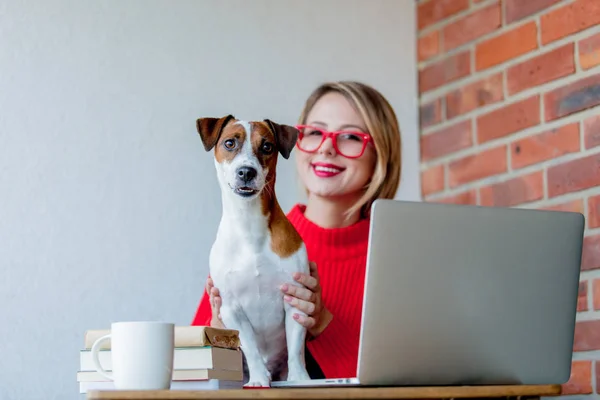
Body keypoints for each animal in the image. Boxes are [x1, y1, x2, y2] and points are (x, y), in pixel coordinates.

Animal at [197, 115, 312, 388]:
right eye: (229, 143)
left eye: (267, 146)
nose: (247, 171)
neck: (249, 224)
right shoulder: (231, 307)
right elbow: (250, 346)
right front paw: (259, 378)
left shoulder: (295, 300)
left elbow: (295, 348)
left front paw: (299, 378)